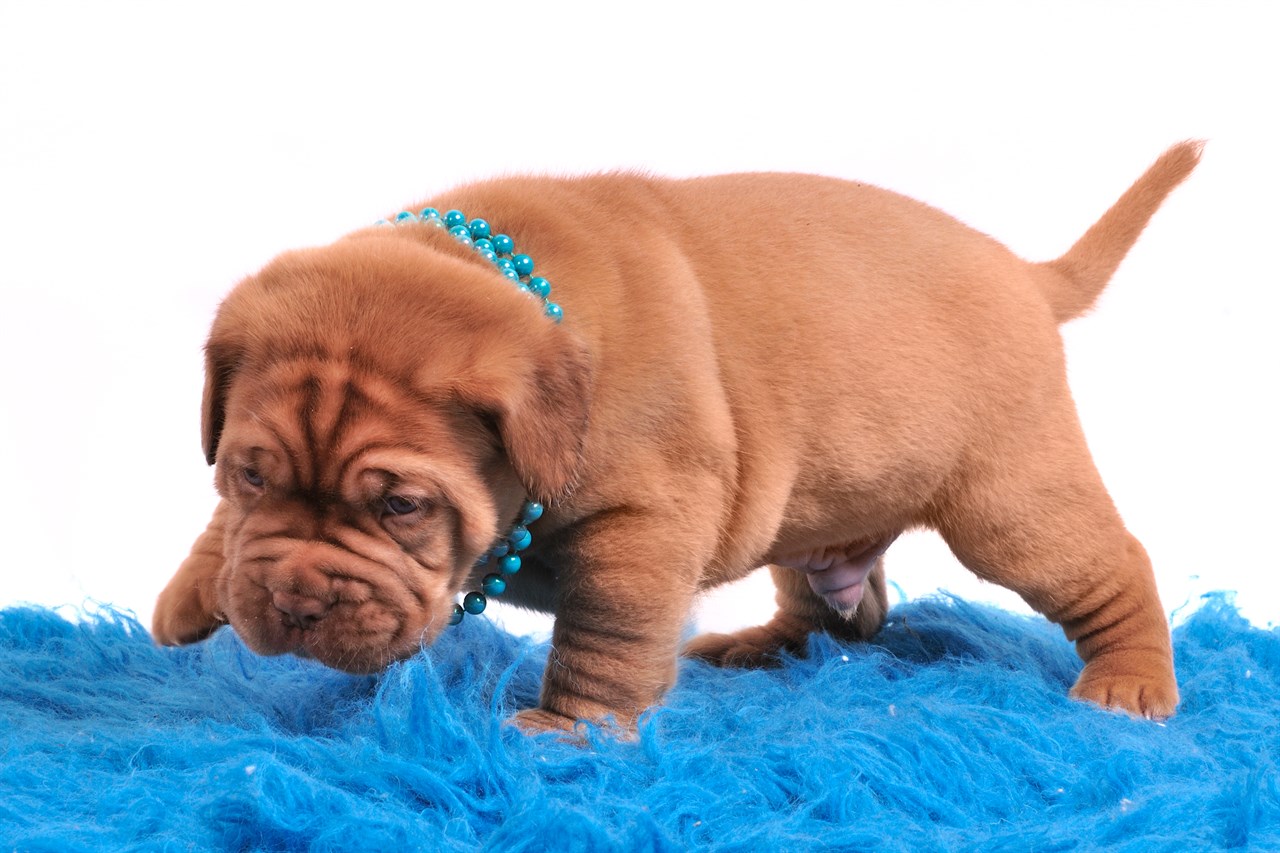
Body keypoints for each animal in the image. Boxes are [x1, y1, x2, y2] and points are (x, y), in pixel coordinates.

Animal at [154, 142, 1203, 727]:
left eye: (404, 506)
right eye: (249, 476)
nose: (290, 604)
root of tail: (1027, 272)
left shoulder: (639, 530)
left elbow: (606, 636)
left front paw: (569, 729)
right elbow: (224, 535)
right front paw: (192, 590)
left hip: (1014, 504)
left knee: (1111, 569)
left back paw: (1129, 682)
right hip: (815, 514)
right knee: (840, 611)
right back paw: (758, 645)